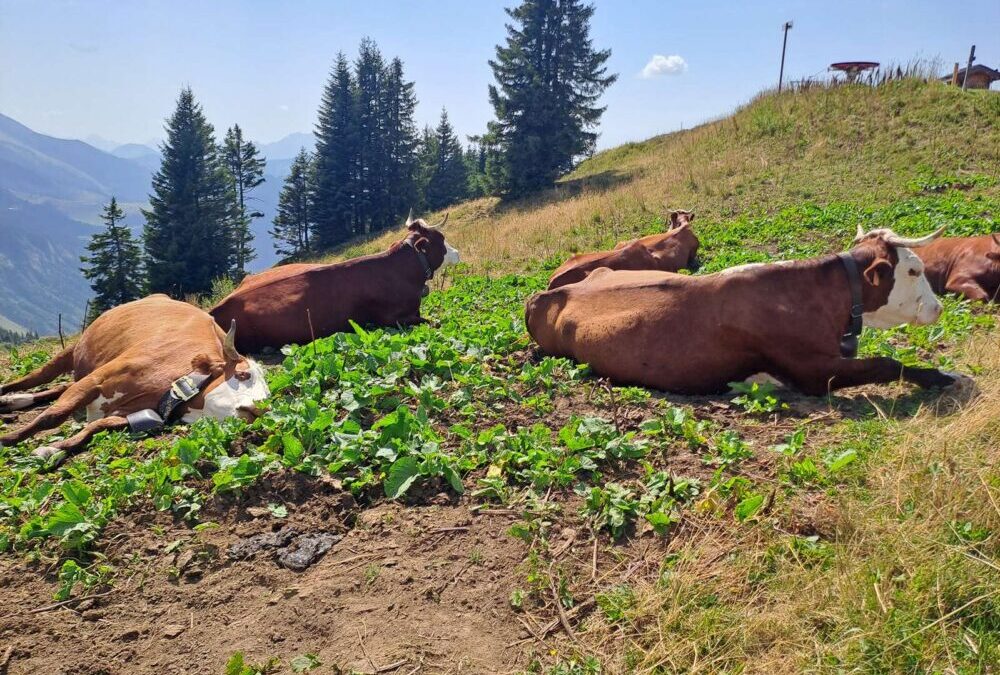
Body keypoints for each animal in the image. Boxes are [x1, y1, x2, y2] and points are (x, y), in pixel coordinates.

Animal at [0, 295, 269, 462]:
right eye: (242, 374)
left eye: (268, 395)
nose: (259, 410)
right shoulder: (96, 379)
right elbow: (52, 416)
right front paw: (7, 439)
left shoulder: (129, 414)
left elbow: (95, 428)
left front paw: (51, 449)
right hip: (73, 351)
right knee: (35, 378)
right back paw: (8, 395)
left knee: (60, 386)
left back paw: (11, 402)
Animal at [210, 214, 460, 353]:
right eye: (441, 239)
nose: (457, 253)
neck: (402, 272)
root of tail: (216, 309)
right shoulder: (392, 319)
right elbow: (434, 322)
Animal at [525, 227, 971, 396]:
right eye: (913, 269)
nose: (937, 308)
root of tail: (544, 294)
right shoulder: (810, 370)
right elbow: (884, 362)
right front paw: (938, 376)